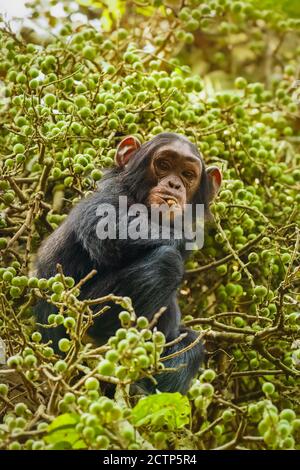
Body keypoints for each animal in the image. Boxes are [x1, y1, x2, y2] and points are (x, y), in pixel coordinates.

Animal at [35, 134, 223, 394]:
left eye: (187, 174)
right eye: (163, 164)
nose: (174, 184)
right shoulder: (110, 192)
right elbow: (111, 227)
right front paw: (187, 237)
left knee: (192, 342)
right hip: (86, 308)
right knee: (166, 262)